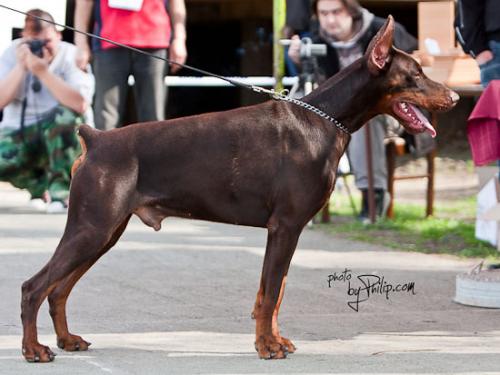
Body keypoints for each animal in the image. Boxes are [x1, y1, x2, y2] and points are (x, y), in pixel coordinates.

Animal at [20, 16, 458, 362]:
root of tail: (94, 138)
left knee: (58, 290)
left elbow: (275, 292)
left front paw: (275, 340)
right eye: (415, 74)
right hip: (92, 226)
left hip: (106, 232)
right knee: (34, 286)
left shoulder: (287, 231)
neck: (325, 120)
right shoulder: (285, 226)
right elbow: (270, 293)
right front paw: (267, 347)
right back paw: (34, 349)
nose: (454, 96)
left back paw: (66, 340)